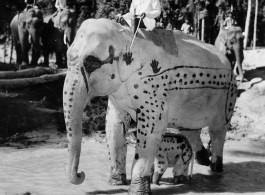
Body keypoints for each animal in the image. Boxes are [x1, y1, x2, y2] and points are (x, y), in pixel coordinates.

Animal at [63, 18, 236, 195]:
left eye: (91, 62)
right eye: (68, 57)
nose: (81, 174)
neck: (128, 35)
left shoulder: (154, 88)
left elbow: (152, 131)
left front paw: (137, 191)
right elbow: (114, 126)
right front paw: (116, 182)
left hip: (228, 97)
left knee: (218, 130)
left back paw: (215, 168)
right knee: (189, 130)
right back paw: (203, 160)